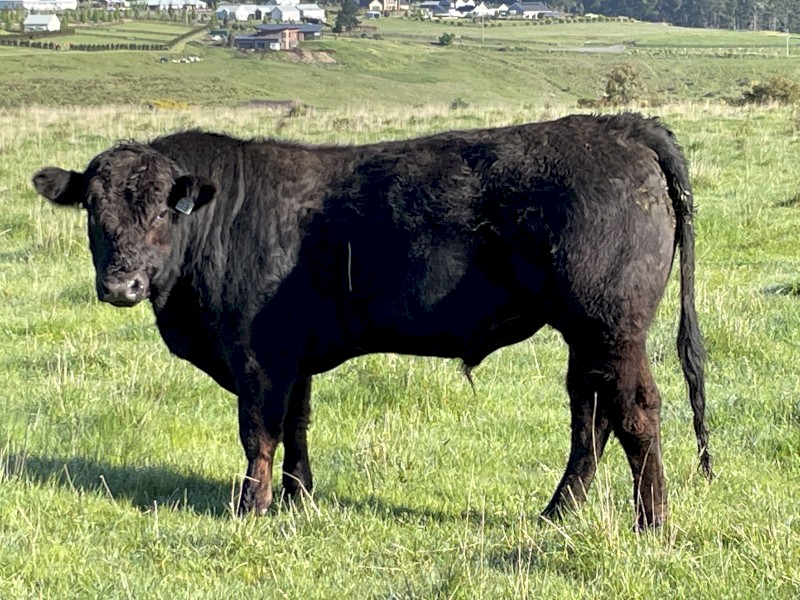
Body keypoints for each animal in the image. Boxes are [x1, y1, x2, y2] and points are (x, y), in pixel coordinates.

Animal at [32, 112, 712, 529]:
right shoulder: (292, 355)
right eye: (93, 210)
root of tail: (618, 127)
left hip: (612, 327)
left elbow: (259, 433)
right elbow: (297, 425)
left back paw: (651, 522)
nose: (121, 285)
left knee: (635, 413)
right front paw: (298, 497)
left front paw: (251, 508)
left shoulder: (256, 354)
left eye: (162, 212)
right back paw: (557, 513)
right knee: (589, 415)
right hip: (585, 334)